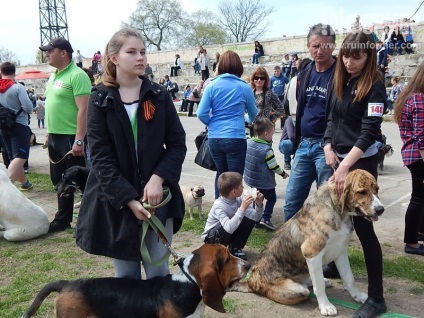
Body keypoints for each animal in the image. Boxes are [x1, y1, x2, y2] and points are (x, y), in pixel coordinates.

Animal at [232, 169, 384, 316]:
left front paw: (357, 296)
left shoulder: (340, 251)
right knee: (307, 288)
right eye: (362, 192)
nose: (380, 209)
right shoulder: (312, 253)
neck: (338, 212)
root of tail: (251, 281)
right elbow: (319, 287)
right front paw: (325, 306)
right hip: (297, 290)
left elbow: (349, 278)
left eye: (376, 189)